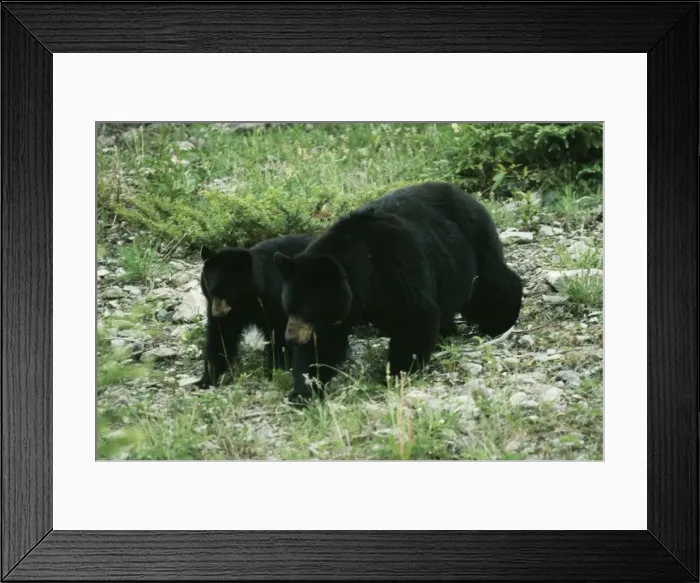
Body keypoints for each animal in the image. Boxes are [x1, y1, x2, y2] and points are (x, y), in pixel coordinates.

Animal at [195, 234, 314, 388]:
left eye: (230, 290)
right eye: (211, 290)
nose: (218, 313)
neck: (248, 300)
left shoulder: (276, 301)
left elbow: (280, 334)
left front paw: (276, 369)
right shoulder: (224, 311)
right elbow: (220, 336)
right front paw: (205, 379)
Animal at [273, 181, 523, 405]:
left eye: (307, 309)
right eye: (288, 308)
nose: (290, 338)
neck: (365, 265)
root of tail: (469, 196)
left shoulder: (396, 266)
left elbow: (414, 315)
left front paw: (398, 371)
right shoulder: (341, 310)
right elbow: (321, 345)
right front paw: (304, 390)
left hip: (472, 243)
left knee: (489, 283)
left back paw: (500, 320)